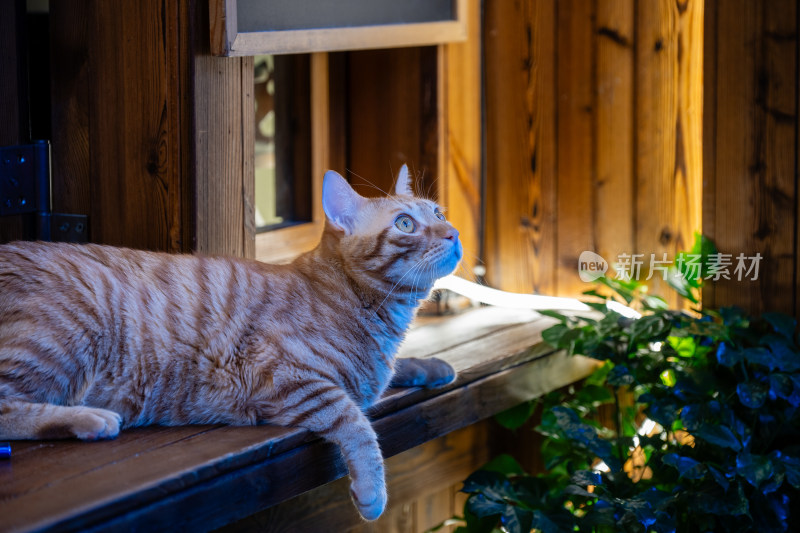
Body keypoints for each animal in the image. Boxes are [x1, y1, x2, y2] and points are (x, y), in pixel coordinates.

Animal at [0, 166, 460, 520]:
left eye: (439, 212)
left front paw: (430, 366)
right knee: (7, 411)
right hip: (63, 332)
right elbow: (356, 424)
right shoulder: (287, 378)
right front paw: (372, 492)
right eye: (405, 224)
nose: (453, 233)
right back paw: (90, 419)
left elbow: (396, 370)